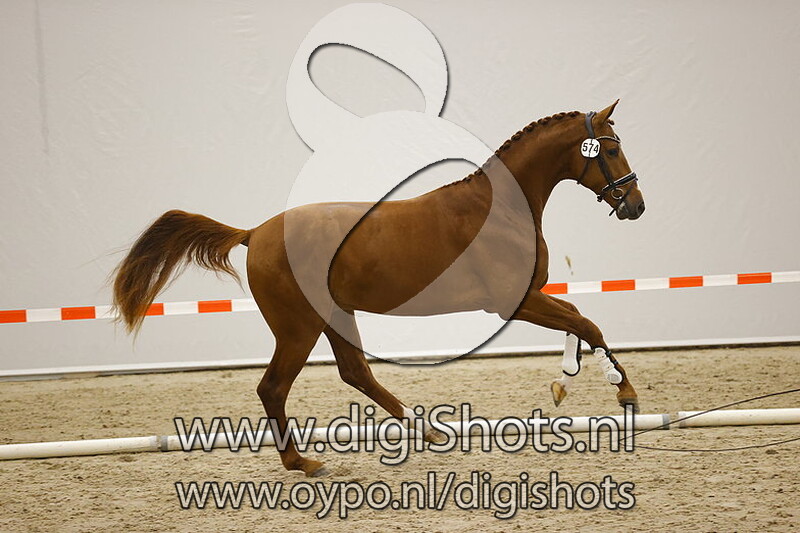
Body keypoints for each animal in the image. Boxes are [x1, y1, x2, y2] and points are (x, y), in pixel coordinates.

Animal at [112, 100, 646, 477]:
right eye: (611, 149)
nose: (636, 205)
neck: (500, 210)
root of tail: (255, 233)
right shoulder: (510, 304)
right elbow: (586, 322)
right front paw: (624, 393)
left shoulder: (527, 299)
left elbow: (578, 319)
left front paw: (571, 381)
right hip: (299, 327)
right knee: (274, 387)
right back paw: (303, 463)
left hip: (334, 316)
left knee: (356, 373)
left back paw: (426, 431)